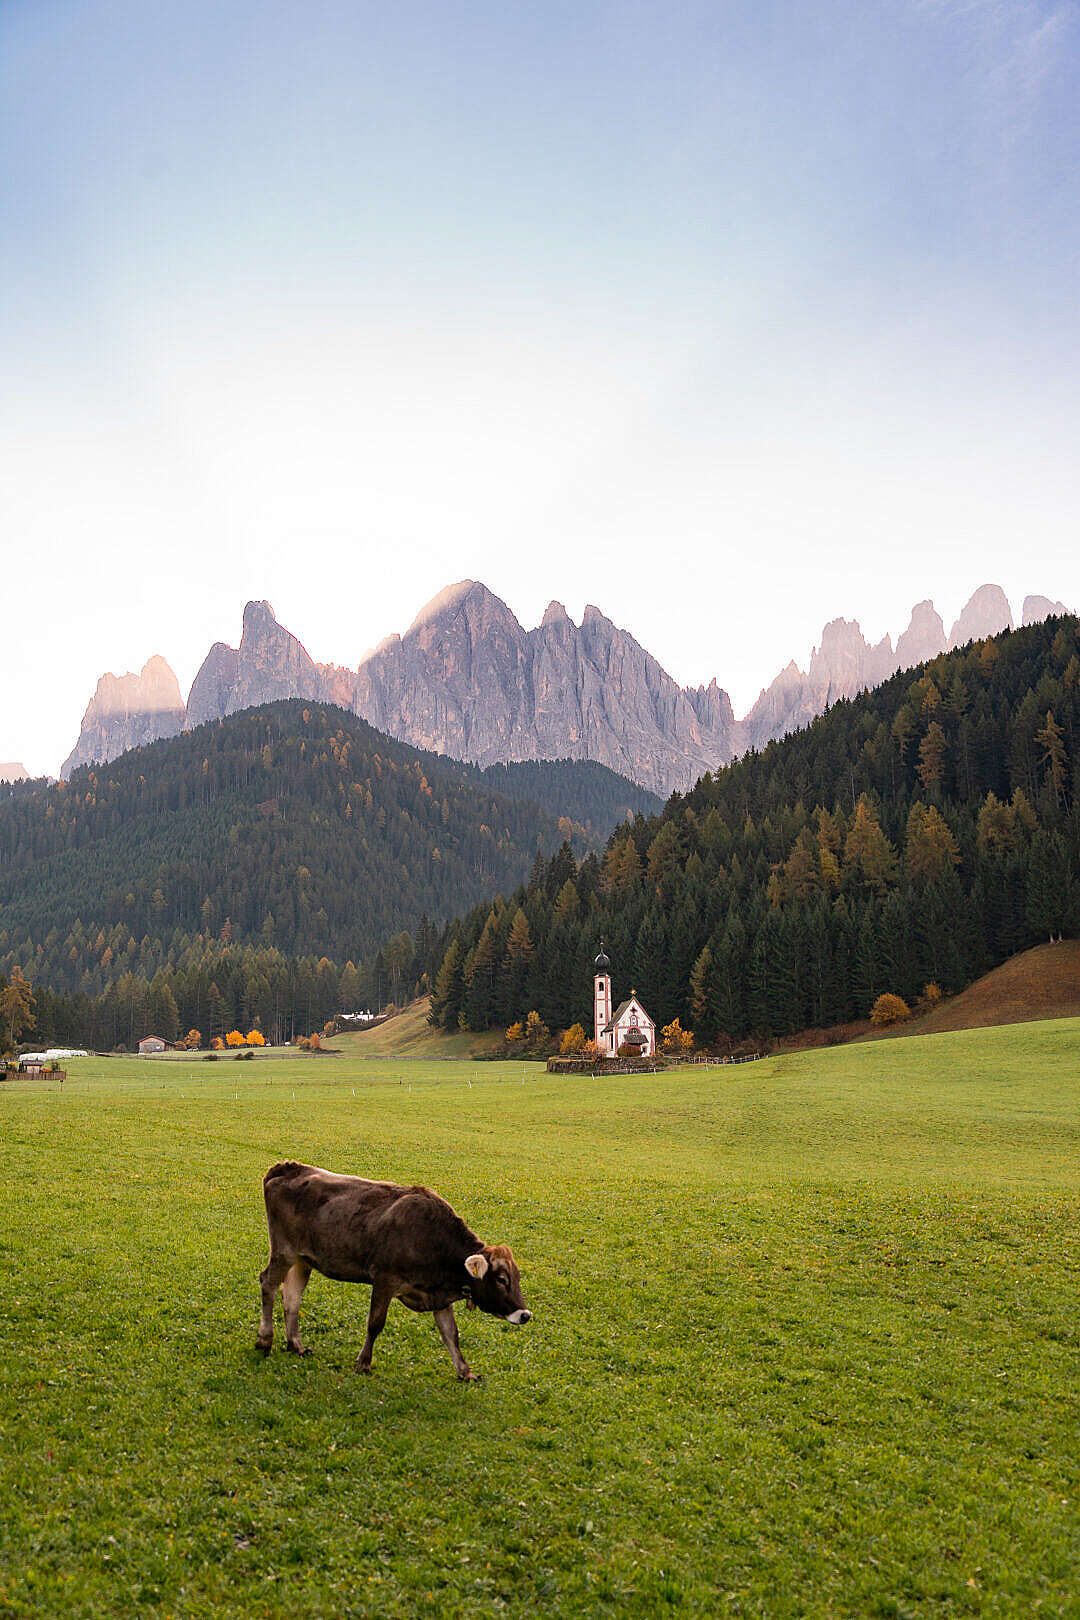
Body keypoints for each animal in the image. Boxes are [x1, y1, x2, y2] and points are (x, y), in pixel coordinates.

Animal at [259, 1166, 537, 1380]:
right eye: (501, 1279)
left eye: (517, 1278)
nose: (525, 1315)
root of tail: (288, 1167)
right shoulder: (384, 1280)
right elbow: (375, 1324)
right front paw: (363, 1363)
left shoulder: (438, 1295)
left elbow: (451, 1334)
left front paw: (465, 1371)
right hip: (283, 1251)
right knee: (268, 1284)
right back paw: (264, 1340)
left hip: (301, 1260)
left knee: (292, 1297)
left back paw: (296, 1345)